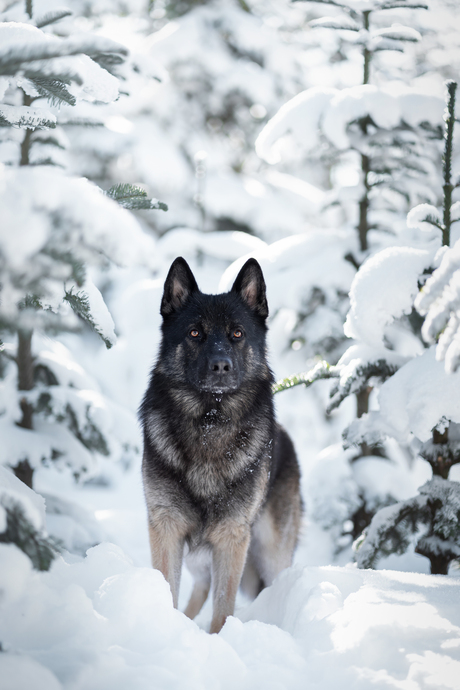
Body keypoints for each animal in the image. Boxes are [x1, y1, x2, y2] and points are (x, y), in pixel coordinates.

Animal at [142, 255, 304, 632]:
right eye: (195, 333)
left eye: (237, 333)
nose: (220, 366)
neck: (210, 424)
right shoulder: (167, 529)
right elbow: (168, 588)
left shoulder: (231, 538)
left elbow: (223, 607)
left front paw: (219, 638)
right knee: (200, 588)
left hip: (270, 553)